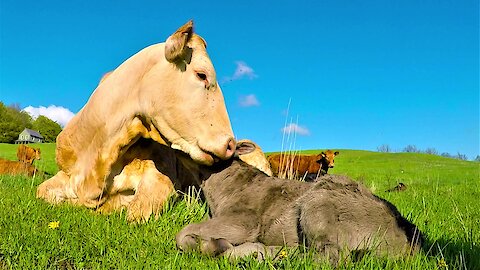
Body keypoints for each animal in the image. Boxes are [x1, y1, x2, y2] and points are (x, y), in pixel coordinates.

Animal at [35, 21, 234, 221]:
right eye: (202, 75)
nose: (230, 145)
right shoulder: (65, 174)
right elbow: (41, 191)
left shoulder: (162, 179)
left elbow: (134, 212)